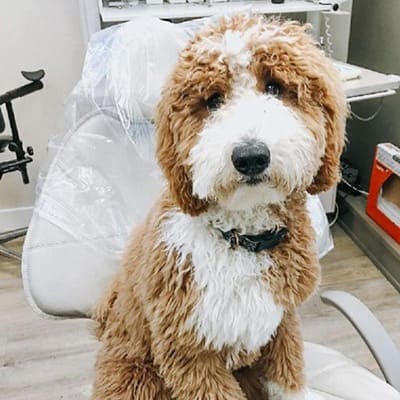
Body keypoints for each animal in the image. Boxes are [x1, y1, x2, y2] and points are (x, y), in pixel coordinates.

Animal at [92, 14, 346, 400]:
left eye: (275, 87)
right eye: (213, 100)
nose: (251, 156)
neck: (242, 240)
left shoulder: (283, 323)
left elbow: (288, 377)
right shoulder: (189, 352)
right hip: (134, 375)